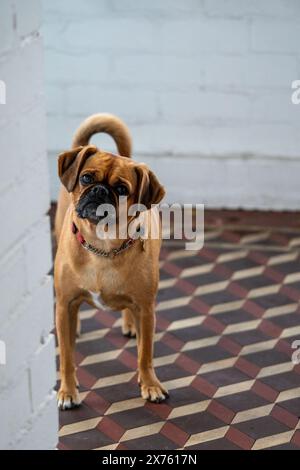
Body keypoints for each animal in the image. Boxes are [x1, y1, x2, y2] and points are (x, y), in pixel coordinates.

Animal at [54, 113, 168, 408]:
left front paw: (150, 385)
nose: (100, 191)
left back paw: (129, 325)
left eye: (121, 189)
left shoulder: (146, 308)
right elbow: (67, 357)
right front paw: (67, 391)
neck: (102, 247)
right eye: (86, 178)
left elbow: (145, 354)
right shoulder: (65, 303)